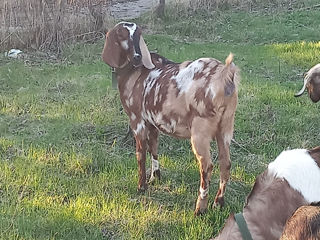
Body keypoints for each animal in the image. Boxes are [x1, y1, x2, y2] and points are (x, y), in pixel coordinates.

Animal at [101, 21, 239, 215]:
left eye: (137, 35)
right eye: (121, 34)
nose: (137, 57)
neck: (136, 72)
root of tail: (224, 75)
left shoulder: (137, 119)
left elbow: (140, 154)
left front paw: (141, 186)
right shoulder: (152, 122)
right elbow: (154, 148)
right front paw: (155, 178)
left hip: (200, 131)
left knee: (207, 166)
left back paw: (200, 209)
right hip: (226, 127)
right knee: (225, 163)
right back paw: (218, 203)